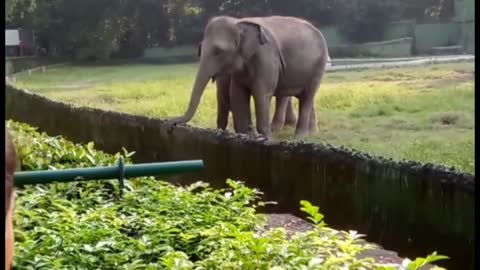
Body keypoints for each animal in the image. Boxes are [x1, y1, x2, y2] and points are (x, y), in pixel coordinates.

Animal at [167, 15, 328, 139]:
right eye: (200, 49)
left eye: (218, 51)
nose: (169, 124)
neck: (239, 22)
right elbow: (238, 95)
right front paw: (248, 136)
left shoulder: (266, 58)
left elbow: (262, 94)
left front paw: (266, 139)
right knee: (305, 97)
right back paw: (312, 133)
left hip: (318, 67)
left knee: (307, 96)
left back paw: (299, 136)